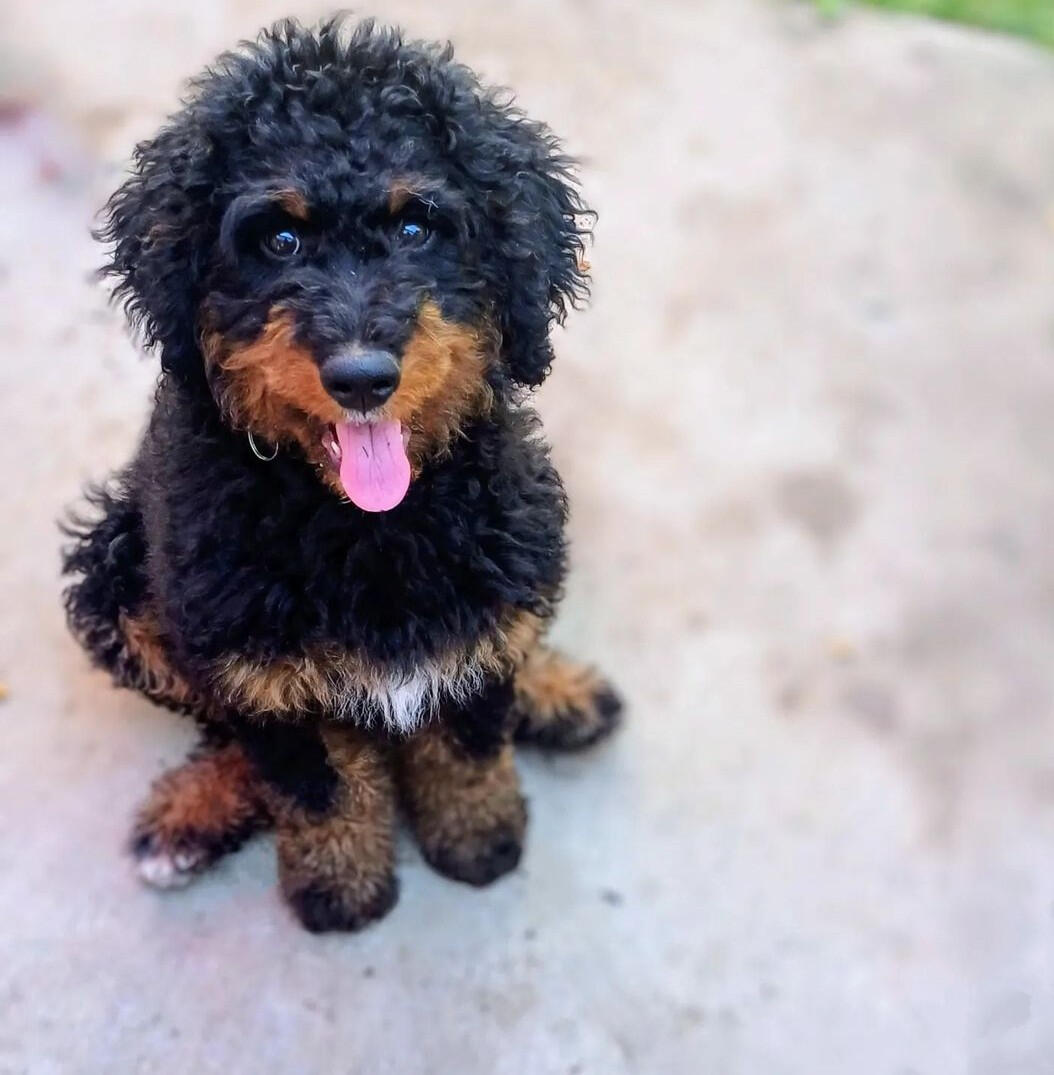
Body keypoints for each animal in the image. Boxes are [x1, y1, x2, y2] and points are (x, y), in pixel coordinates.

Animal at [62, 17, 621, 932]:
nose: (362, 377)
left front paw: (478, 839)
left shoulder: (482, 607)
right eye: (280, 240)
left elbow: (471, 734)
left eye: (417, 228)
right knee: (222, 729)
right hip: (118, 576)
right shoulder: (257, 664)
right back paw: (189, 813)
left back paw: (557, 689)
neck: (367, 525)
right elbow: (314, 782)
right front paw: (341, 889)